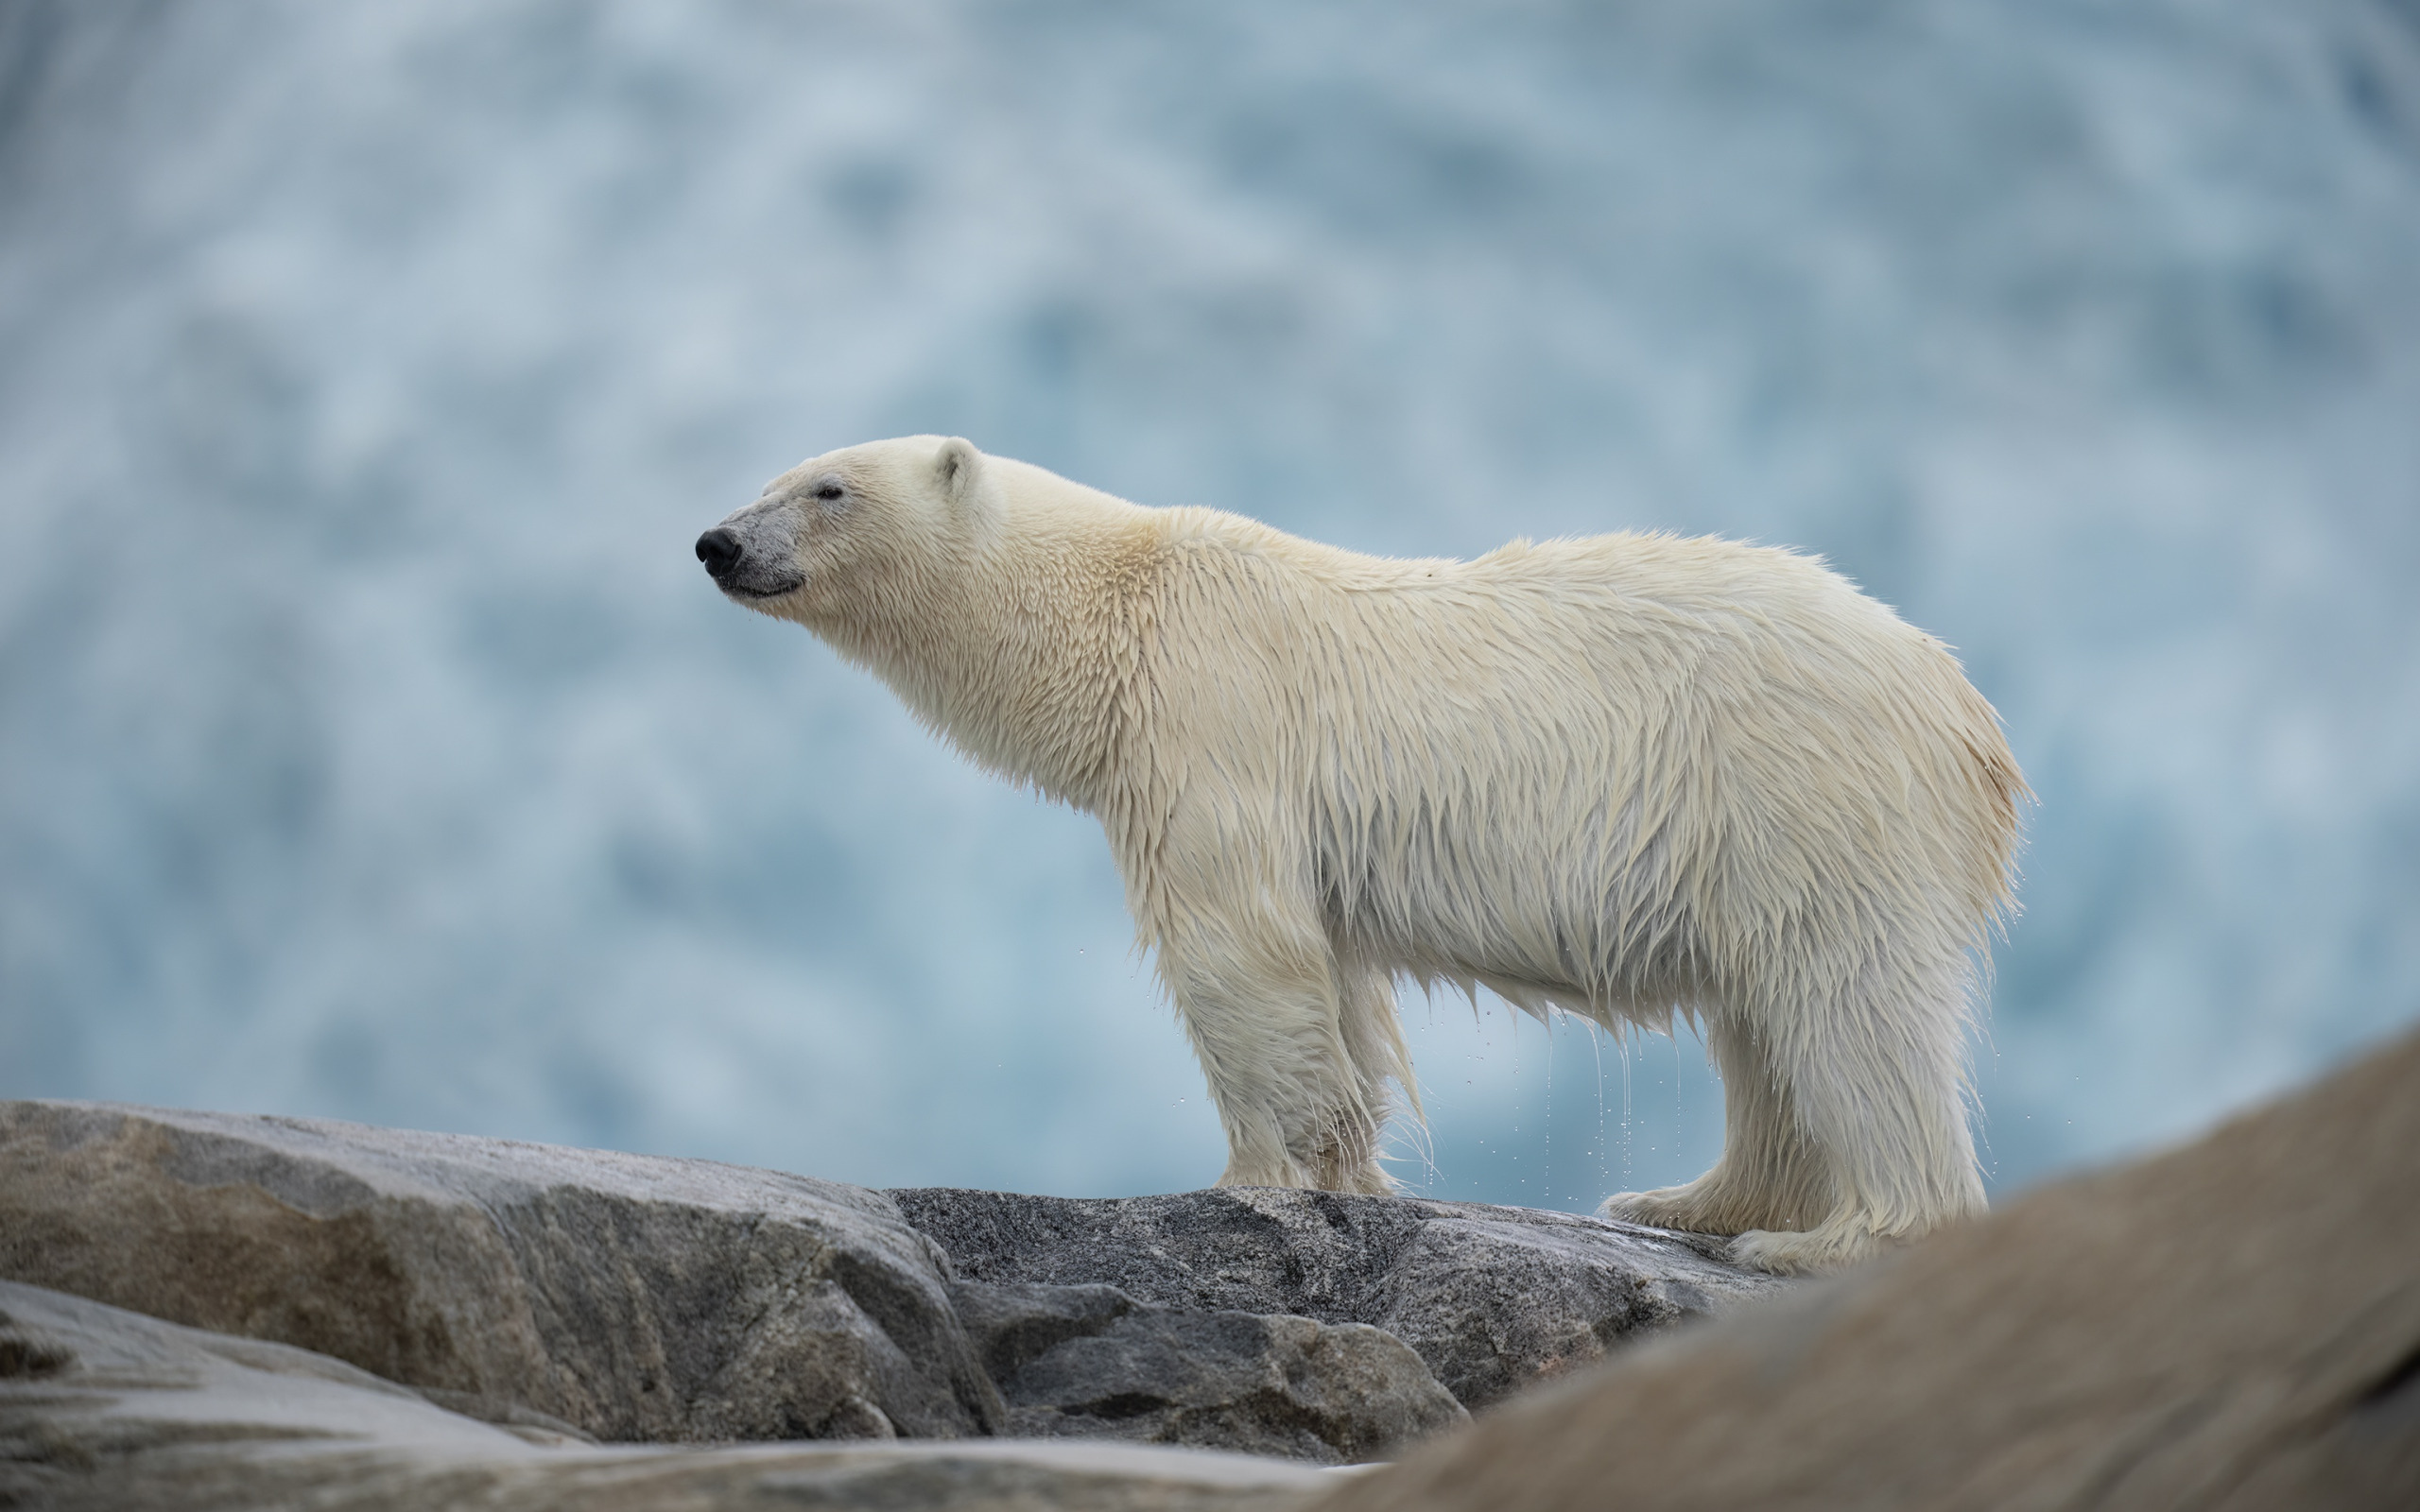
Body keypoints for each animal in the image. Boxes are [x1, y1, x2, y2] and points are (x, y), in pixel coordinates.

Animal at [697, 435, 2023, 1277]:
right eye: (769, 474)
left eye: (826, 487)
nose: (715, 542)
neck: (1118, 607)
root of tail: (1965, 709)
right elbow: (1330, 977)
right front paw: (1346, 1167)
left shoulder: (1210, 719)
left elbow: (1235, 946)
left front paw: (1252, 1177)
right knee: (1765, 1015)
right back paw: (1689, 1198)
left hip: (1801, 789)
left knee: (1846, 1001)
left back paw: (1832, 1236)